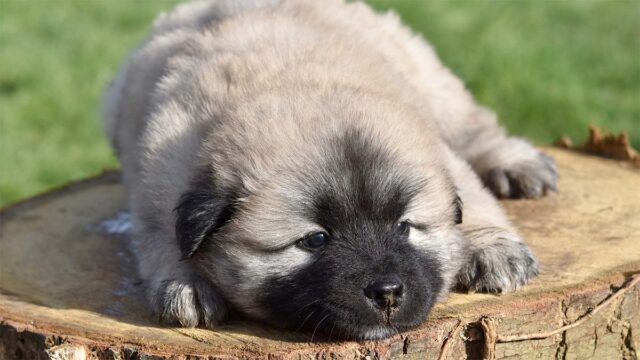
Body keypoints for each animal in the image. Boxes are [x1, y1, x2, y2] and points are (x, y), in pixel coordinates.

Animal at [102, 0, 556, 340]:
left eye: (404, 227)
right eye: (316, 239)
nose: (388, 294)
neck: (298, 81)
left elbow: (472, 193)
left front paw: (493, 246)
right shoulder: (159, 172)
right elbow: (161, 232)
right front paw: (186, 283)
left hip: (428, 77)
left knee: (473, 125)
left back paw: (515, 162)